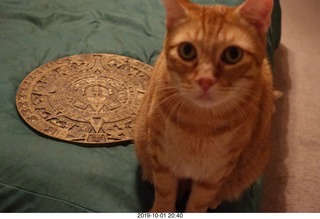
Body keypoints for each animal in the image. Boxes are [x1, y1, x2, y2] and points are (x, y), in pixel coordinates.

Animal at [134, 0, 274, 212]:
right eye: (187, 51)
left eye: (233, 54)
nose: (205, 80)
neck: (198, 125)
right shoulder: (162, 161)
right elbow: (165, 194)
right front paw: (160, 211)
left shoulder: (215, 175)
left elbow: (198, 204)